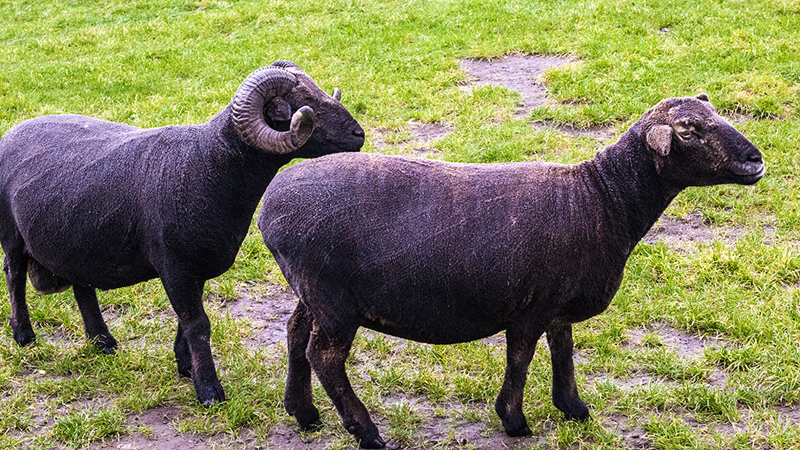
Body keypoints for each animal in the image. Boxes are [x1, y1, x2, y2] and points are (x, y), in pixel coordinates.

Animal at [1, 60, 364, 408]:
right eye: (305, 105)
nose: (358, 134)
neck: (209, 163)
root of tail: (13, 130)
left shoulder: (192, 266)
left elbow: (185, 321)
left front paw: (185, 365)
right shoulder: (175, 266)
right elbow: (198, 325)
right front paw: (209, 391)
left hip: (76, 238)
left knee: (83, 287)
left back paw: (102, 341)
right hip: (13, 236)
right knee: (14, 277)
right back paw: (24, 335)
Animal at [260, 94, 764, 446]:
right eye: (689, 130)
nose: (756, 159)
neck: (601, 198)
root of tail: (269, 208)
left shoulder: (558, 302)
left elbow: (564, 351)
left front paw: (573, 408)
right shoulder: (533, 304)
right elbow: (521, 358)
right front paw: (515, 421)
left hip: (311, 291)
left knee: (294, 333)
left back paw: (303, 413)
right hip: (332, 298)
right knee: (324, 356)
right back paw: (366, 432)